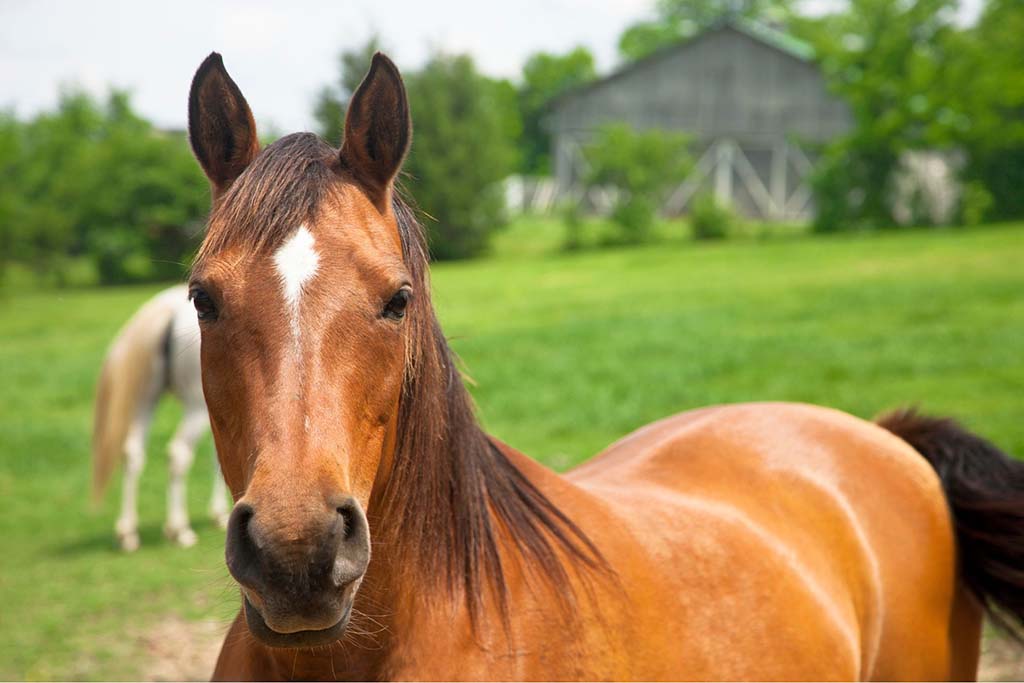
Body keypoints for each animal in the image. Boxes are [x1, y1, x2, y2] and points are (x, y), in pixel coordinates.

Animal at [91, 286, 228, 552]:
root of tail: (167, 310)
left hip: (146, 400)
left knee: (132, 453)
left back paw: (128, 533)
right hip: (195, 406)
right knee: (178, 454)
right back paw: (179, 529)